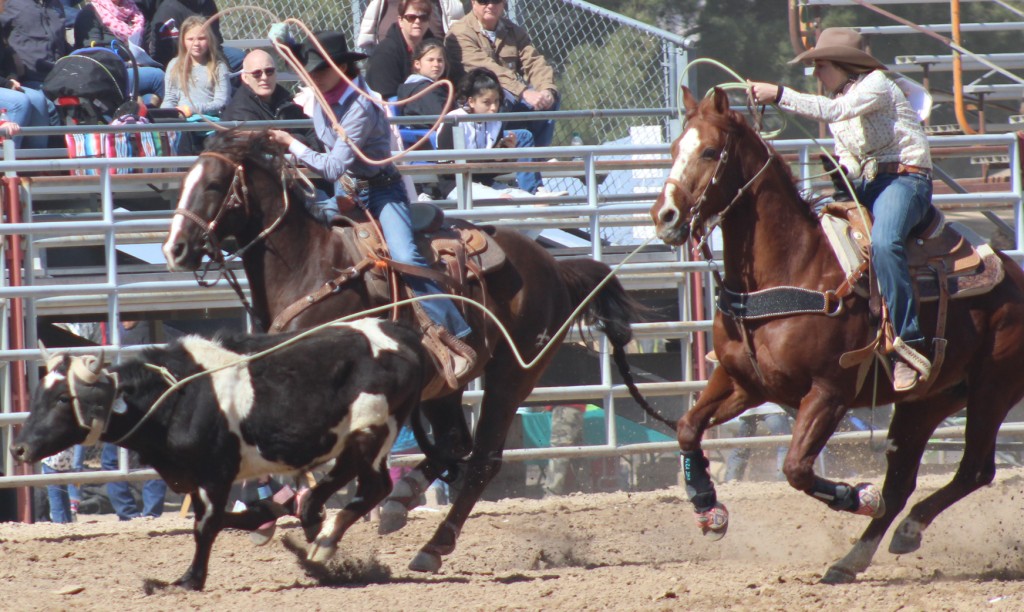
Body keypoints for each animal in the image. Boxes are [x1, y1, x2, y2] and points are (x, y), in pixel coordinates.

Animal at [11, 319, 427, 591]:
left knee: (370, 485)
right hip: (364, 439)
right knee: (354, 481)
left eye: (63, 398)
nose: (19, 448)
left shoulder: (215, 474)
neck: (180, 397)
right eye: (37, 394)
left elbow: (205, 525)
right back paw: (312, 521)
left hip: (372, 431)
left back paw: (322, 537)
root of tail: (401, 333)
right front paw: (267, 512)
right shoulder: (194, 477)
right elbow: (223, 518)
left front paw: (188, 580)